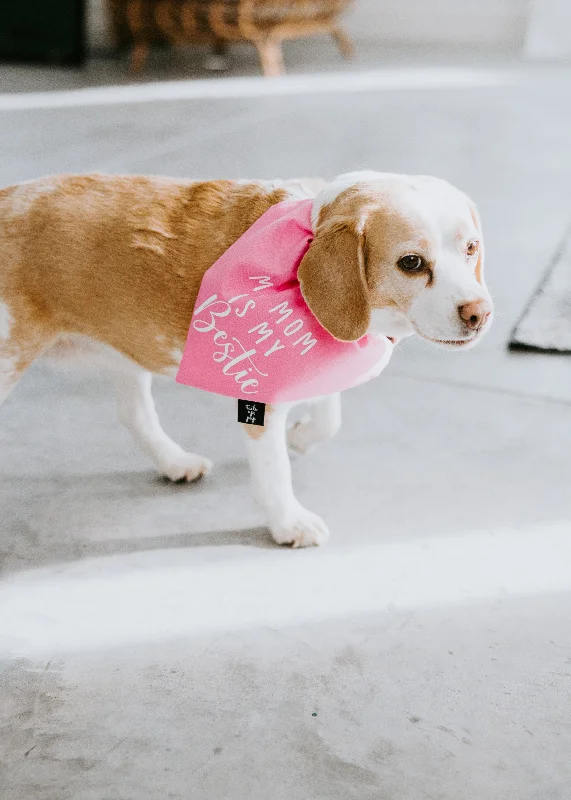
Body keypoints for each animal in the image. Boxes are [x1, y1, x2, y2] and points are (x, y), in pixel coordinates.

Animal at [0, 172, 492, 548]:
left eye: (471, 248)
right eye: (411, 263)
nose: (480, 313)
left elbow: (328, 415)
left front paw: (302, 437)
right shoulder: (261, 402)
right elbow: (274, 473)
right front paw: (288, 522)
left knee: (134, 415)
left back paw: (173, 462)